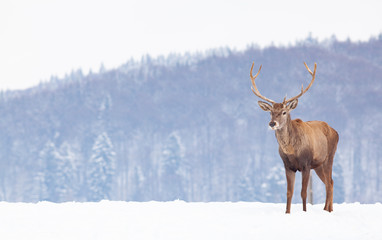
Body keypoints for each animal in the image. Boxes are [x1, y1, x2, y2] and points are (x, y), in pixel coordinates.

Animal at [249, 62, 338, 214]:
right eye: (271, 112)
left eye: (284, 112)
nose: (272, 123)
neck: (292, 151)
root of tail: (335, 131)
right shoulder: (287, 166)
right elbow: (289, 192)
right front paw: (287, 212)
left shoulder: (306, 164)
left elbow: (303, 192)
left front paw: (304, 212)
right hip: (318, 165)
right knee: (328, 182)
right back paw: (326, 209)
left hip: (329, 157)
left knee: (330, 182)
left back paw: (329, 210)